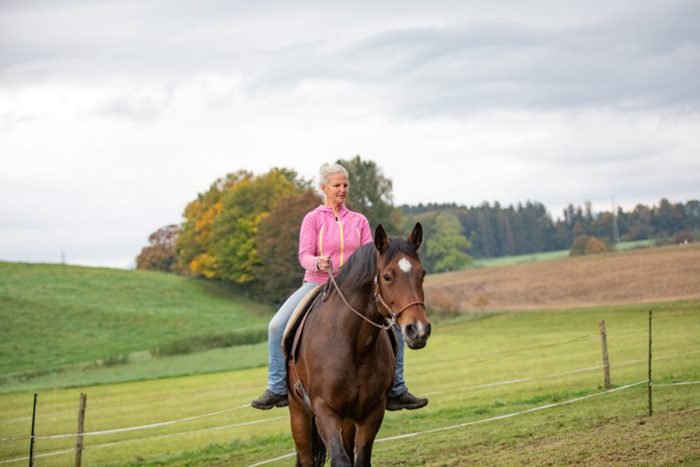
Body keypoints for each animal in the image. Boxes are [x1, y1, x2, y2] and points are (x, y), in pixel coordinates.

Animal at [288, 224, 430, 467]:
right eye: (387, 276)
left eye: (422, 274)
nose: (418, 330)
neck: (354, 347)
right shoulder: (324, 410)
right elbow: (340, 460)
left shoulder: (372, 412)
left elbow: (361, 459)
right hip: (299, 415)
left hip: (348, 420)